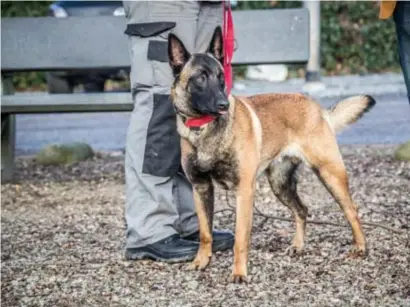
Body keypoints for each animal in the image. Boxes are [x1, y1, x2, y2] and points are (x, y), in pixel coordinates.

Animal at [166, 26, 374, 284]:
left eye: (221, 77)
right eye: (200, 78)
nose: (224, 104)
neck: (204, 129)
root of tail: (316, 107)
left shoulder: (244, 192)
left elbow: (240, 238)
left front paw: (239, 273)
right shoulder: (201, 188)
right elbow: (205, 233)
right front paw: (201, 262)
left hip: (330, 174)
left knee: (351, 210)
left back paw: (360, 247)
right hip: (280, 184)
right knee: (302, 210)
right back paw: (298, 245)